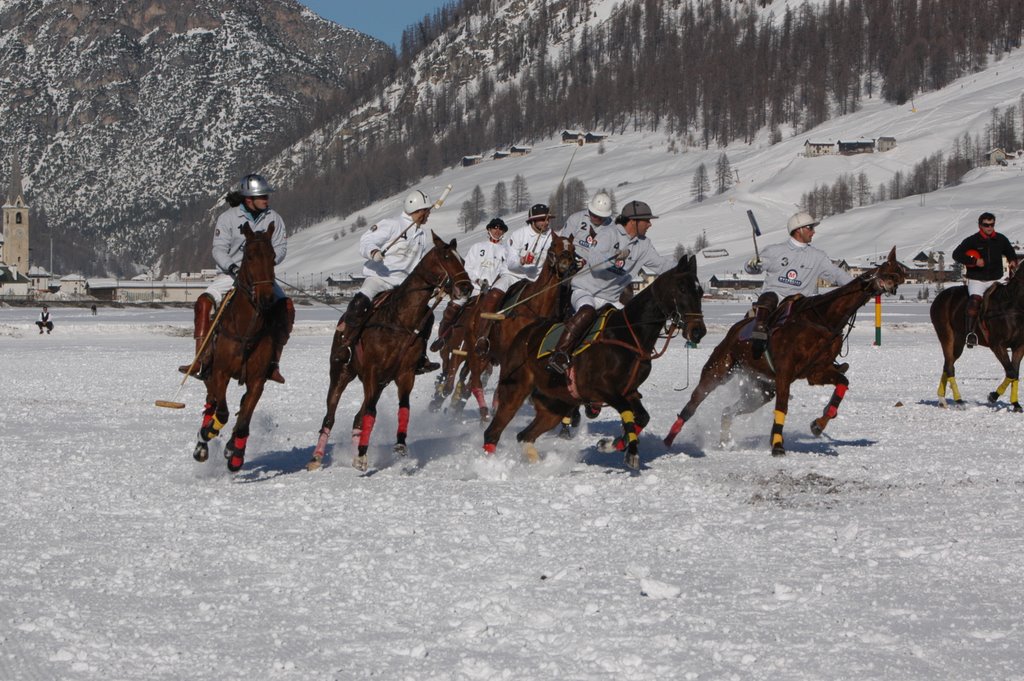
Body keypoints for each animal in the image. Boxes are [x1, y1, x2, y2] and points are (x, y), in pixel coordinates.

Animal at [192, 223, 284, 473]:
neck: (247, 330)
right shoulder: (220, 373)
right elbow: (222, 411)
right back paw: (202, 444)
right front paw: (209, 431)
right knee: (211, 402)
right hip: (208, 370)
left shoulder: (257, 380)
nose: (266, 298)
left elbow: (244, 419)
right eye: (249, 256)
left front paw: (235, 453)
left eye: (273, 257)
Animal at [309, 231, 473, 471]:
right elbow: (370, 412)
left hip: (380, 382)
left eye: (462, 260)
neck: (400, 320)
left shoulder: (404, 374)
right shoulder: (372, 371)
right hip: (342, 373)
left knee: (358, 417)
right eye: (446, 257)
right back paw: (317, 457)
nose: (467, 288)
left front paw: (399, 445)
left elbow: (403, 407)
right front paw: (362, 455)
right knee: (330, 415)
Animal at [479, 251, 704, 471]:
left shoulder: (629, 390)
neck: (628, 336)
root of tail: (524, 334)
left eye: (700, 291)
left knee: (525, 435)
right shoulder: (601, 388)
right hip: (516, 388)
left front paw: (610, 444)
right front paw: (630, 453)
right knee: (493, 431)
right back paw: (487, 467)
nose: (698, 331)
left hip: (555, 404)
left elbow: (642, 417)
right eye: (682, 288)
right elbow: (627, 412)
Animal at [667, 246, 909, 454]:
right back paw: (669, 439)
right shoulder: (785, 372)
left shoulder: (816, 372)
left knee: (727, 410)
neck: (822, 319)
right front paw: (777, 445)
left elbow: (842, 383)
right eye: (886, 266)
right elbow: (782, 407)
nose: (890, 284)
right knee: (693, 402)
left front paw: (819, 424)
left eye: (901, 274)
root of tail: (734, 331)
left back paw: (724, 442)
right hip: (719, 369)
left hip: (761, 390)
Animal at [929, 260, 1024, 409]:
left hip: (958, 341)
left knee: (948, 364)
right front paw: (992, 396)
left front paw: (1016, 404)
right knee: (949, 367)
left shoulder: (1019, 347)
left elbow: (1015, 373)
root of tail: (939, 297)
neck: (1012, 306)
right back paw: (959, 401)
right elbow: (1011, 372)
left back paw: (942, 400)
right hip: (946, 336)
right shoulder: (997, 346)